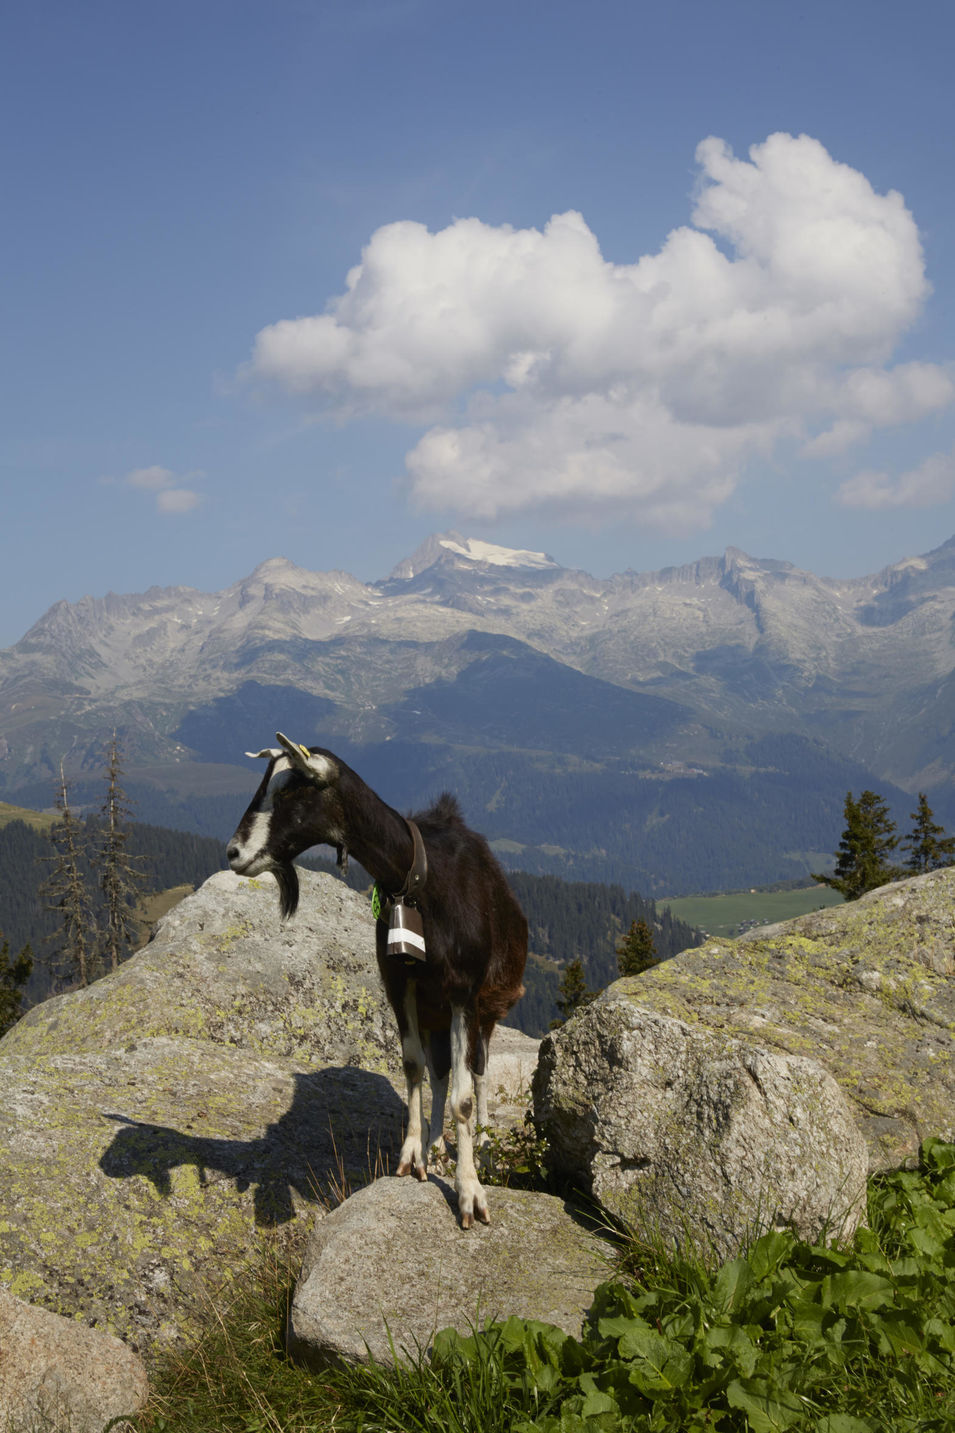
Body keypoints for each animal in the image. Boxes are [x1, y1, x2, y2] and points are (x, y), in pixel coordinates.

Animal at [226, 733, 528, 1228]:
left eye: (289, 791)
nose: (233, 853)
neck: (420, 883)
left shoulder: (464, 994)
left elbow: (465, 1095)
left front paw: (470, 1193)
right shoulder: (400, 986)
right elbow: (413, 1066)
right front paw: (413, 1155)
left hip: (488, 1003)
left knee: (479, 1069)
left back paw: (483, 1140)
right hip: (433, 1011)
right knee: (440, 1071)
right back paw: (436, 1144)